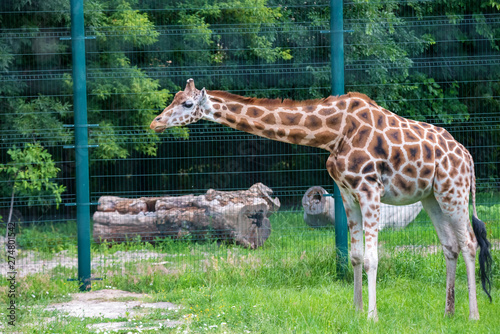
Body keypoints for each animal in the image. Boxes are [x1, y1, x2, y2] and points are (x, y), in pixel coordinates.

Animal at [149, 78, 492, 320]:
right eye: (173, 99)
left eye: (187, 103)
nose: (155, 122)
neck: (333, 133)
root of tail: (469, 158)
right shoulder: (347, 194)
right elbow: (355, 255)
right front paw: (356, 312)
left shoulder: (369, 189)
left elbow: (372, 257)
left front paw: (372, 317)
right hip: (433, 197)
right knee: (449, 246)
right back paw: (448, 313)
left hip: (454, 190)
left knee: (469, 242)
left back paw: (474, 316)